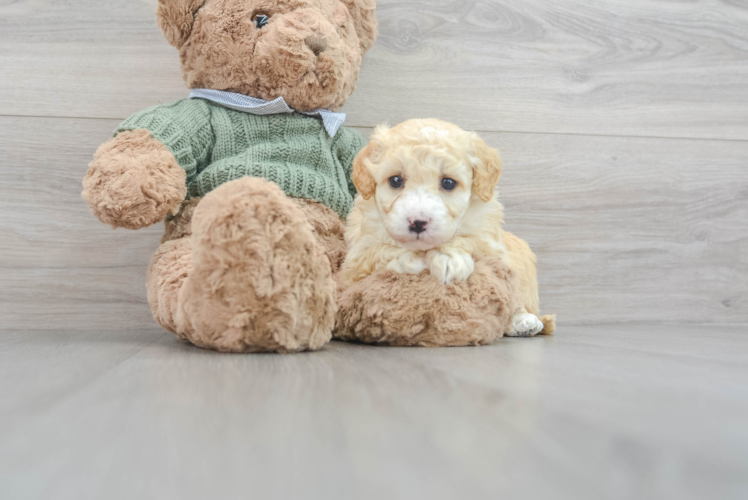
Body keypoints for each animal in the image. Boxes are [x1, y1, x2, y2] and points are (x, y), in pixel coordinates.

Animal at [344, 118, 548, 336]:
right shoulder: (355, 260)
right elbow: (381, 251)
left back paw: (523, 321)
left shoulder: (490, 242)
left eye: (448, 182)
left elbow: (470, 241)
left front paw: (449, 258)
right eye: (395, 180)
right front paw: (413, 260)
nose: (417, 222)